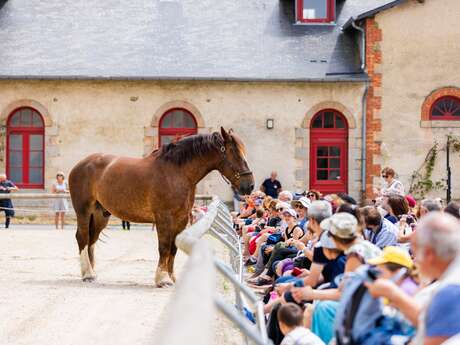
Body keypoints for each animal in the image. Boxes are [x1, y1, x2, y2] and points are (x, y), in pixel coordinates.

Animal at [69, 127, 255, 286]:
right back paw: (88, 274)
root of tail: (80, 165)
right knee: (82, 237)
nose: (250, 186)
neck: (176, 172)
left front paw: (172, 278)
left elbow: (173, 248)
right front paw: (162, 279)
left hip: (101, 214)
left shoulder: (181, 219)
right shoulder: (164, 218)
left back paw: (91, 272)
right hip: (84, 211)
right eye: (235, 153)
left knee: (92, 240)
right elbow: (164, 246)